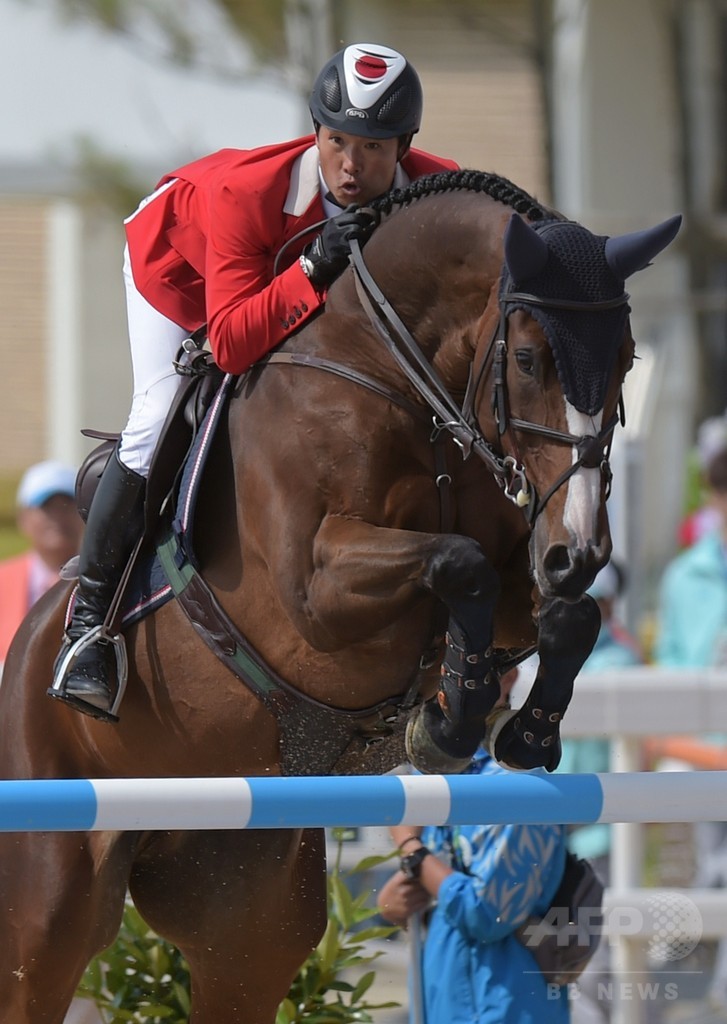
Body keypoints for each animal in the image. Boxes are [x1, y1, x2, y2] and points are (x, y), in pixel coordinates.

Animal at [0, 169, 680, 1022]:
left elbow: (563, 613)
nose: (580, 550)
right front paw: (451, 721)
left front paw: (516, 732)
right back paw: (86, 656)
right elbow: (458, 564)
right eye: (526, 359)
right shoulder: (313, 593)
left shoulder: (516, 573)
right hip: (47, 913)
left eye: (624, 358)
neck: (392, 373)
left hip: (244, 910)